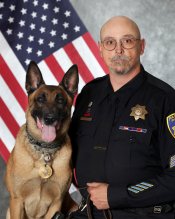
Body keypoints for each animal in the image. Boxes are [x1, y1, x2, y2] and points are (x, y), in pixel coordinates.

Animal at [4, 61, 78, 219]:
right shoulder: (17, 201)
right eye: (40, 99)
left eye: (60, 101)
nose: (49, 118)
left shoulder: (56, 203)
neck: (45, 150)